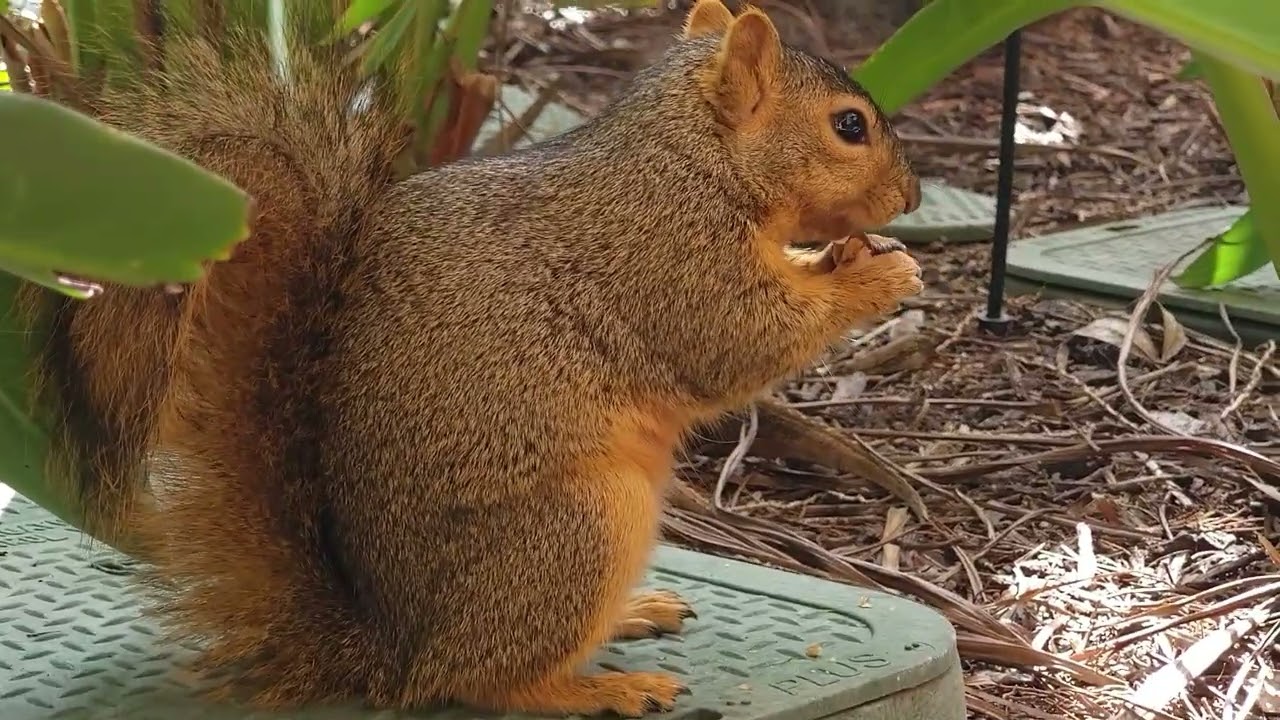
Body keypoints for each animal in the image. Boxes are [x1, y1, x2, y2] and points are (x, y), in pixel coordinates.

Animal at [17, 0, 923, 715]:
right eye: (848, 125)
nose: (912, 198)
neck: (692, 156)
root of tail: (394, 648)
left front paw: (842, 256)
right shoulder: (667, 256)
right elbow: (736, 340)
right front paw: (879, 275)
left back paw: (628, 618)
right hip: (576, 527)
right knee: (481, 680)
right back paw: (598, 688)